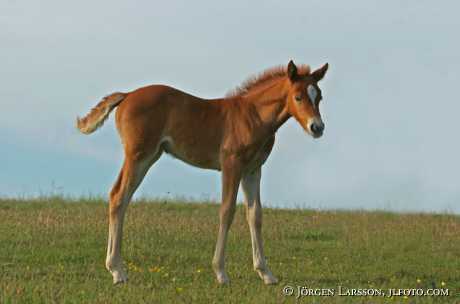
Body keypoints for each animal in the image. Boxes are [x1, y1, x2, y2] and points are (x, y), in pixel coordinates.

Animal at [77, 60, 330, 284]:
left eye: (319, 96)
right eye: (298, 97)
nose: (317, 127)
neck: (254, 116)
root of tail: (127, 94)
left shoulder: (253, 170)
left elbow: (255, 215)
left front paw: (266, 273)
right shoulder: (231, 165)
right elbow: (227, 211)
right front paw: (220, 272)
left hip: (148, 156)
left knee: (120, 197)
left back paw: (116, 268)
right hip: (138, 155)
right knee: (119, 196)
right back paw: (117, 271)